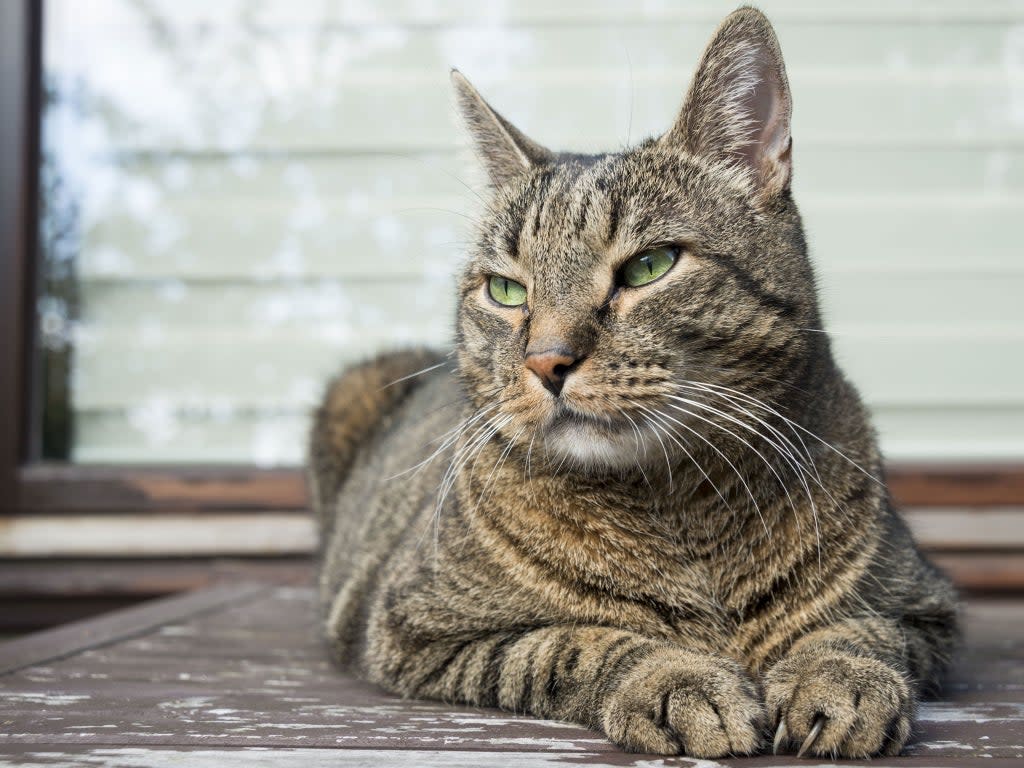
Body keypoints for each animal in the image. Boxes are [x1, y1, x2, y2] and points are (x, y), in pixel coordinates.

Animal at [305, 7, 958, 765]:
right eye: (506, 289)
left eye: (649, 266)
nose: (547, 362)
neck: (679, 511)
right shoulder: (414, 630)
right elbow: (570, 644)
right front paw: (674, 679)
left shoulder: (926, 605)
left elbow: (861, 628)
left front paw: (841, 677)